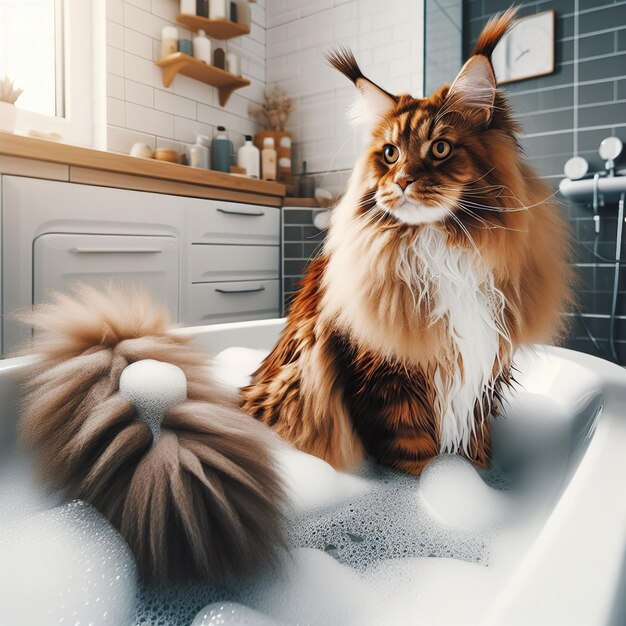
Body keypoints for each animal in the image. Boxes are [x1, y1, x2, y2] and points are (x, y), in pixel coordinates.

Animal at [243, 9, 572, 472]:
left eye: (440, 149)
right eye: (390, 154)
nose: (401, 181)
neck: (442, 252)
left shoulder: (483, 375)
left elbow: (477, 450)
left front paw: (477, 480)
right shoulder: (389, 382)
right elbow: (416, 457)